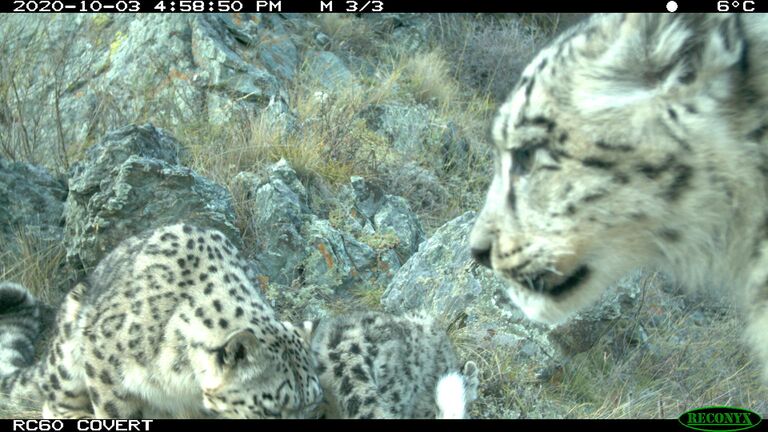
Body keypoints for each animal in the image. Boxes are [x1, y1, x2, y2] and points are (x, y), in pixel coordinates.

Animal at [0, 224, 322, 420]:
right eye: (272, 411)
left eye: (313, 406)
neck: (183, 382)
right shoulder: (105, 368)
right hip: (68, 355)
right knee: (55, 400)